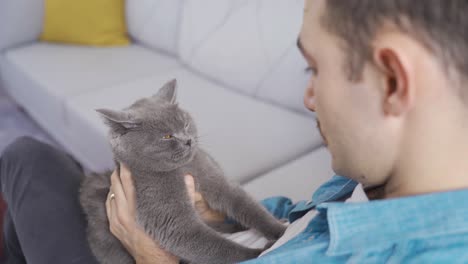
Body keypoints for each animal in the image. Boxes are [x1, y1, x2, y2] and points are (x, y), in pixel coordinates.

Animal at [80, 79, 286, 264]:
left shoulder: (216, 179)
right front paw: (260, 252)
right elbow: (208, 244)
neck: (182, 169)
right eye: (167, 136)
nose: (187, 140)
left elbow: (247, 205)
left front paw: (281, 231)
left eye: (185, 124)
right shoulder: (167, 215)